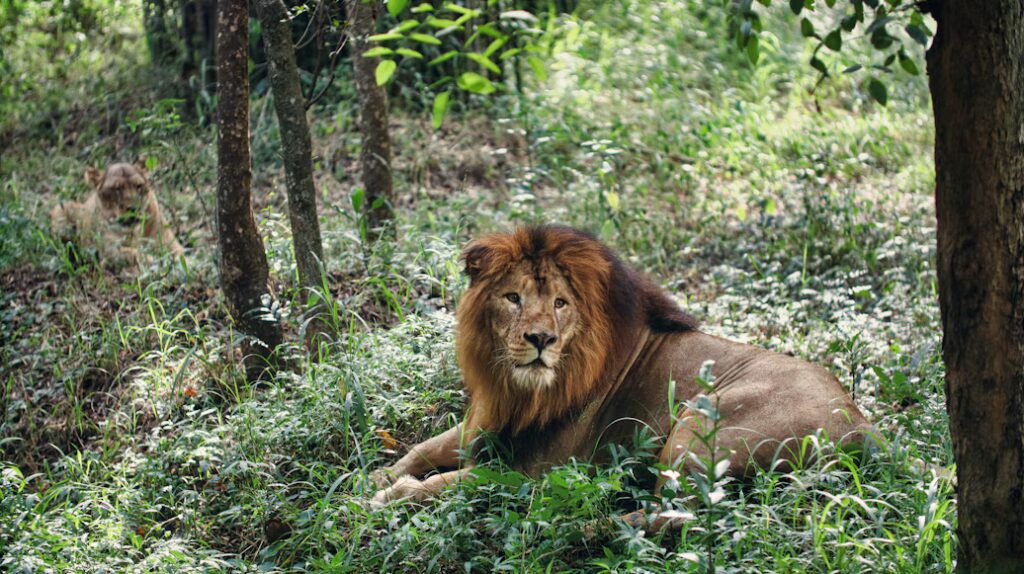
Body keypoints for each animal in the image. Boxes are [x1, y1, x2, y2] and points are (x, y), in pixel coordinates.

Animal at [50, 162, 184, 266]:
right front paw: (159, 261)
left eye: (138, 186)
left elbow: (181, 255)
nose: (133, 208)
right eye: (117, 189)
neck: (133, 231)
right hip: (61, 208)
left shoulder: (169, 242)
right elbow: (135, 253)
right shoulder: (109, 249)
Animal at [371, 225, 873, 528]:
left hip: (697, 426)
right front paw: (379, 476)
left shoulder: (528, 469)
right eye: (513, 298)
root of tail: (865, 428)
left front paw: (388, 497)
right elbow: (425, 448)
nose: (540, 339)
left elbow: (443, 483)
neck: (516, 388)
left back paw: (586, 523)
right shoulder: (484, 424)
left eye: (560, 303)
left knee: (676, 514)